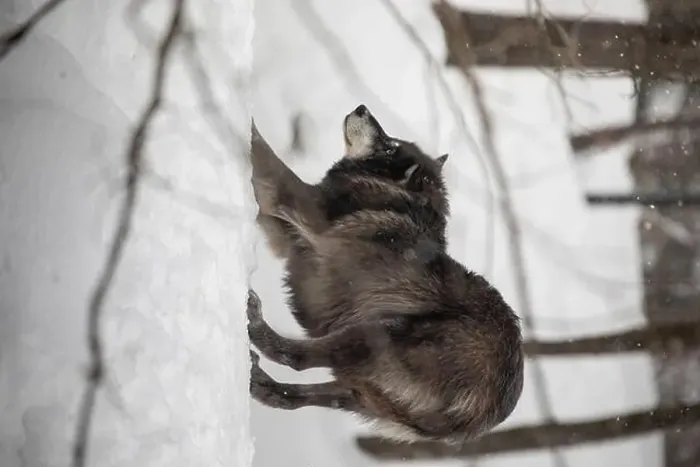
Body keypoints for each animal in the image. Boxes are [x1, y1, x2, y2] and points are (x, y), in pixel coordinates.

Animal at [246, 104, 524, 445]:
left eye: (389, 146)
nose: (361, 108)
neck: (396, 194)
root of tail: (481, 417)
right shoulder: (284, 234)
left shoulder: (299, 203)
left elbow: (265, 153)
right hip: (358, 392)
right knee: (291, 398)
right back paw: (259, 384)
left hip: (376, 333)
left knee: (296, 358)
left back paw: (255, 324)